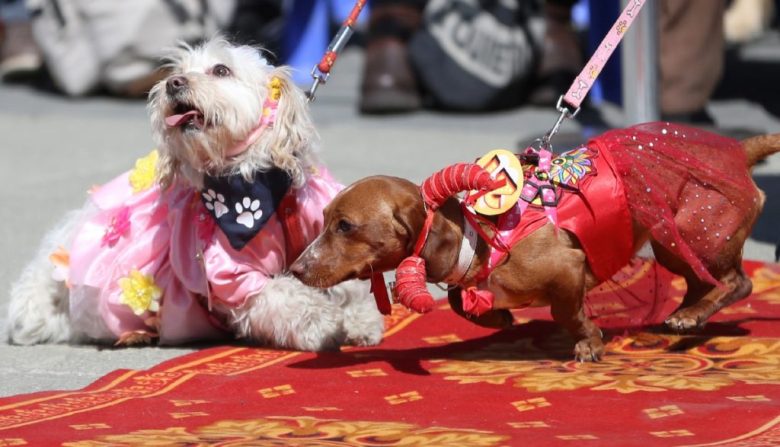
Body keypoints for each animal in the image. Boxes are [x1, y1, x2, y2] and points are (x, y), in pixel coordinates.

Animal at [6, 38, 384, 352]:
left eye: (221, 70)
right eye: (177, 72)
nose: (173, 83)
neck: (261, 186)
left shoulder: (324, 237)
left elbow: (348, 284)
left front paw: (362, 321)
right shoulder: (234, 276)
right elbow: (283, 296)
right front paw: (323, 323)